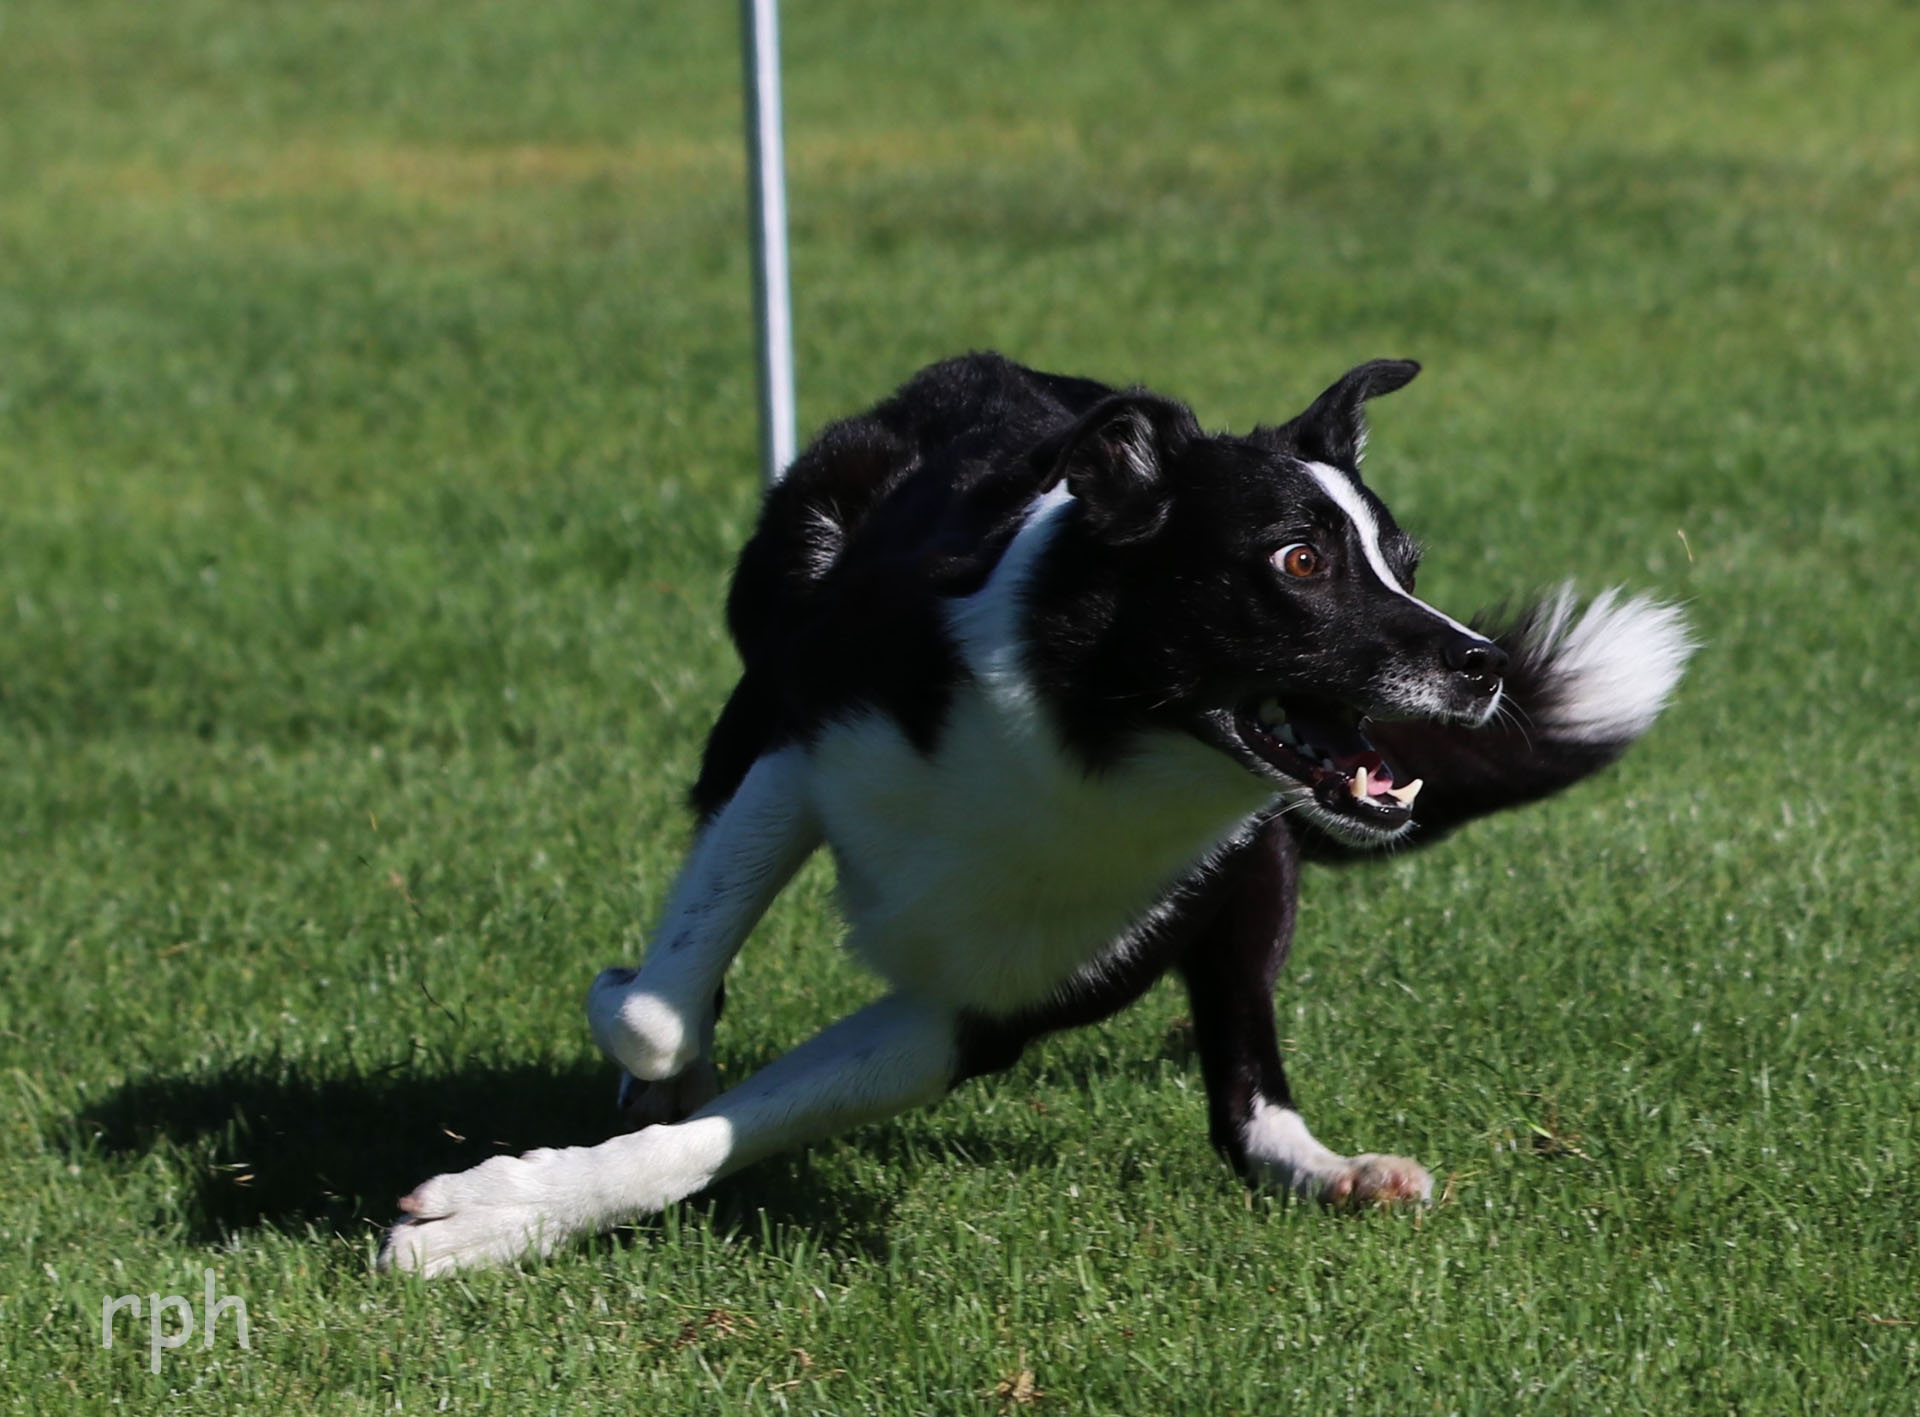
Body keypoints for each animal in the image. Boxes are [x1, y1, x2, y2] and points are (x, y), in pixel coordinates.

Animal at [379, 353, 1692, 1276]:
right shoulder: (803, 738)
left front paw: (495, 1217)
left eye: (1404, 564)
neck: (1085, 732)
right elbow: (656, 1012)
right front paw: (588, 1114)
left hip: (1246, 879)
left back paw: (1323, 1165)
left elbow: (719, 1121)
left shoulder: (983, 1007)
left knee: (1244, 1093)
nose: (1482, 667)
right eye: (1299, 562)